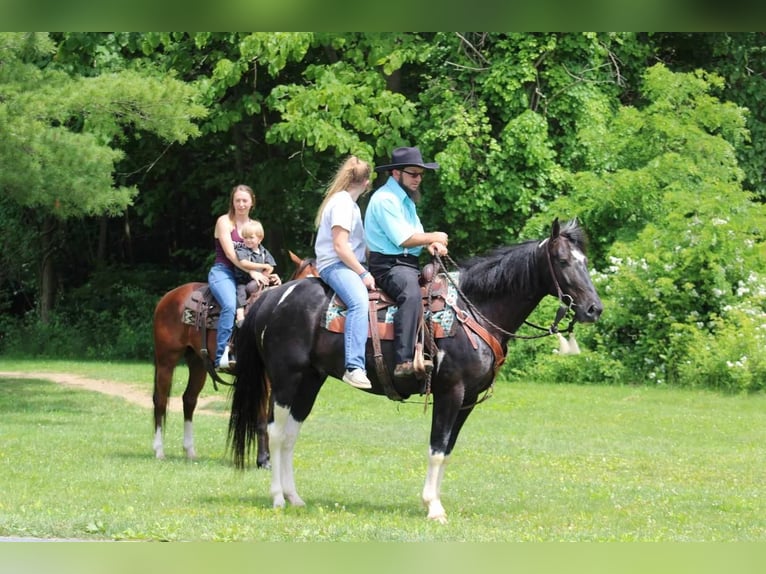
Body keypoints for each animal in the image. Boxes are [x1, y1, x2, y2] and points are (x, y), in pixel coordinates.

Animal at [152, 254, 320, 462]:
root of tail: (167, 298)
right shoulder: (261, 379)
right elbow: (262, 419)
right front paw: (263, 459)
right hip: (166, 359)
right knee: (160, 400)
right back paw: (159, 450)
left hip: (198, 363)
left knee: (189, 400)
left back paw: (190, 451)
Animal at [228, 219, 608, 520]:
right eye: (562, 260)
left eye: (585, 261)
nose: (594, 308)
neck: (474, 308)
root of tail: (274, 297)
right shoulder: (450, 391)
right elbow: (437, 448)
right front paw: (433, 507)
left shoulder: (467, 400)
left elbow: (447, 450)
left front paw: (435, 501)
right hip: (285, 379)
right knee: (275, 432)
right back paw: (278, 498)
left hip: (310, 380)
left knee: (292, 434)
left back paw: (294, 497)